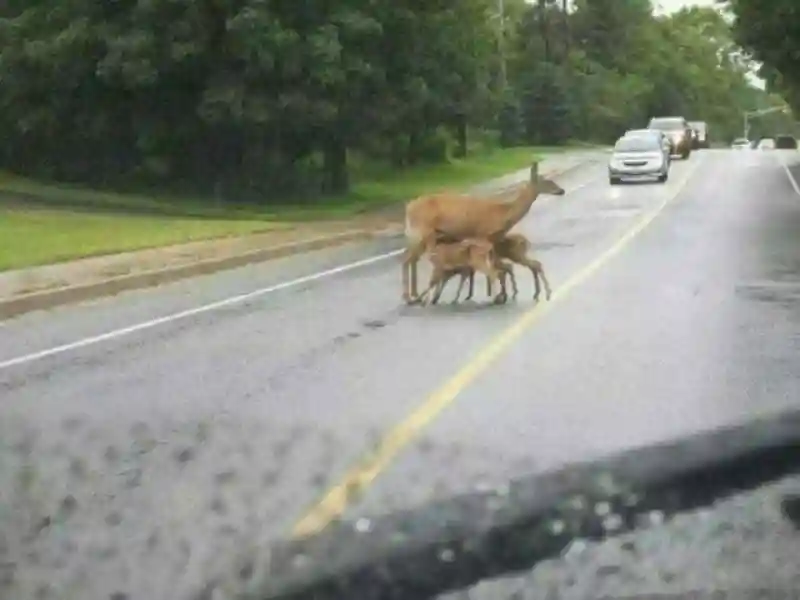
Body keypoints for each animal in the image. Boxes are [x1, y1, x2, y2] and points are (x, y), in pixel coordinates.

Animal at [400, 161, 564, 304]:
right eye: (548, 182)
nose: (562, 191)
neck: (503, 213)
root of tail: (409, 207)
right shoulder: (484, 235)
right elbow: (492, 266)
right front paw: (497, 295)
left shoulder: (491, 240)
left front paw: (497, 294)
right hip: (422, 232)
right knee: (408, 259)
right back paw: (410, 297)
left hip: (422, 235)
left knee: (411, 259)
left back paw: (415, 295)